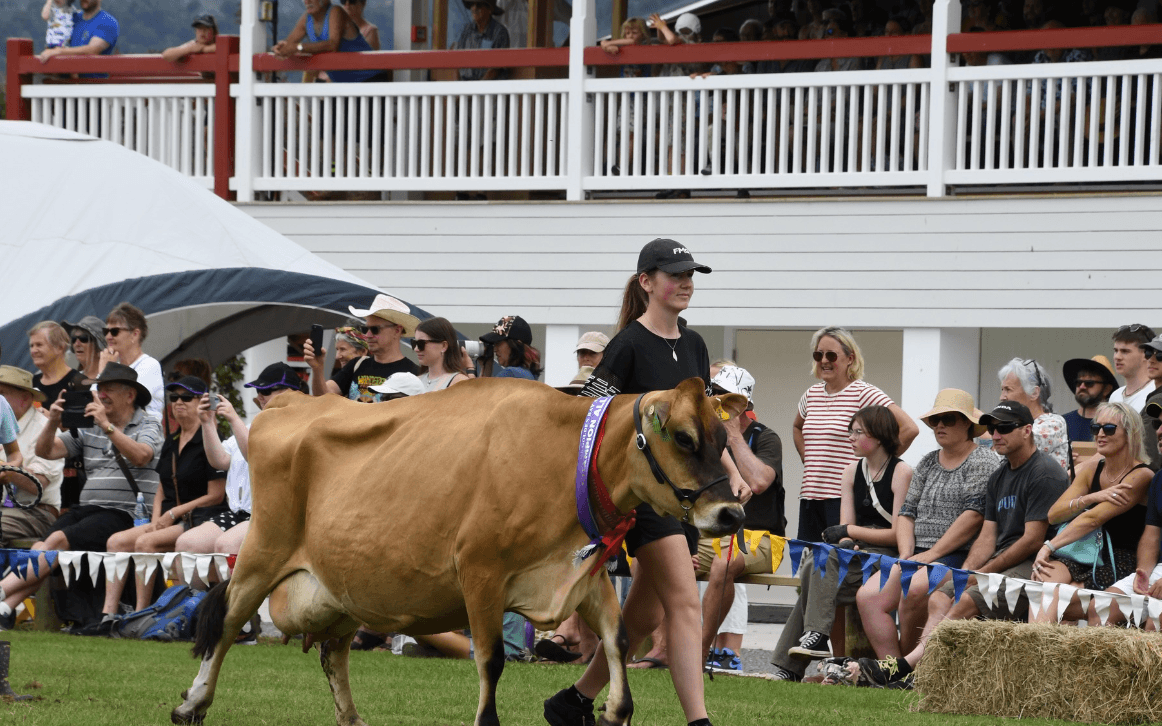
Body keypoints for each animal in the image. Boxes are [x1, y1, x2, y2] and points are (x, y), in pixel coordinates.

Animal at [171, 376, 743, 724]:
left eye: (724, 439)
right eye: (685, 438)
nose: (733, 514)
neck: (567, 461)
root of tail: (293, 401)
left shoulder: (584, 574)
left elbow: (619, 641)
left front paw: (613, 710)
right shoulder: (480, 572)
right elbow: (490, 661)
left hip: (347, 585)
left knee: (334, 653)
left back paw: (352, 719)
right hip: (264, 550)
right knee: (226, 624)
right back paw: (193, 703)